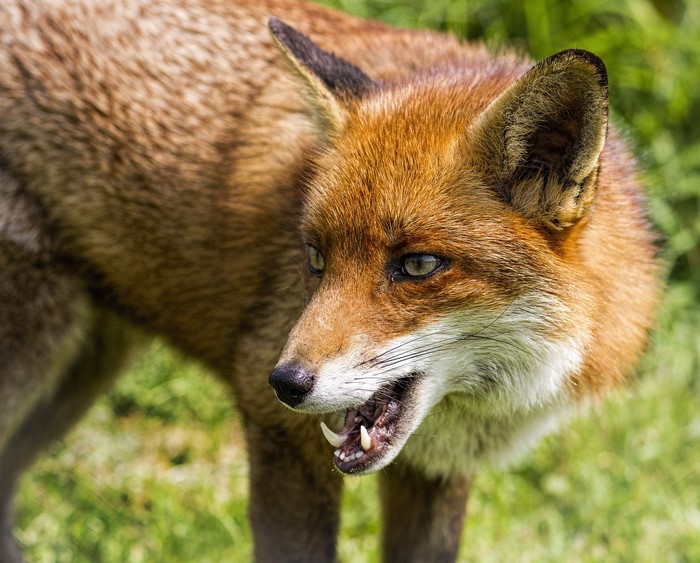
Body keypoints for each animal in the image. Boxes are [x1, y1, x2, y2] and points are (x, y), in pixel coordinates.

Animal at [0, 0, 660, 560]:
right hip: (37, 354)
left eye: (418, 265)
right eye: (316, 258)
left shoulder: (436, 471)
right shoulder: (281, 436)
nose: (285, 383)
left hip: (82, 371)